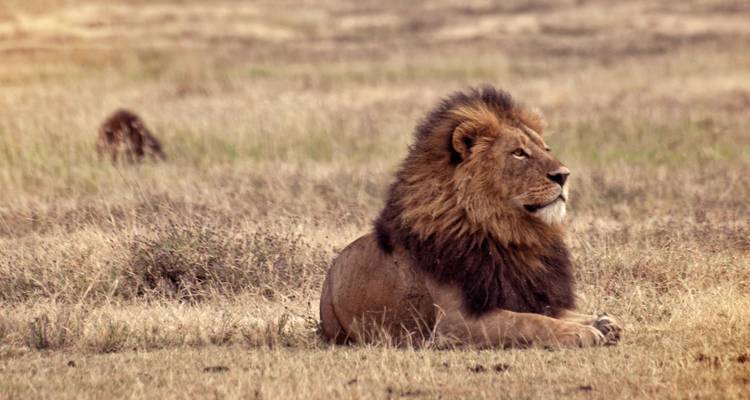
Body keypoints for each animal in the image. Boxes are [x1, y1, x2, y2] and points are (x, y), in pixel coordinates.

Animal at [320, 86, 622, 348]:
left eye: (545, 149)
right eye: (519, 153)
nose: (563, 175)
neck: (507, 235)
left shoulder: (524, 292)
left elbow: (553, 312)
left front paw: (601, 321)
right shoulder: (455, 323)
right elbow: (529, 321)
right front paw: (580, 332)